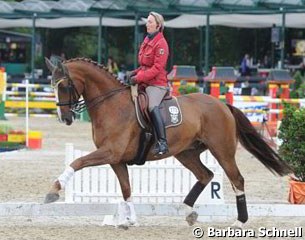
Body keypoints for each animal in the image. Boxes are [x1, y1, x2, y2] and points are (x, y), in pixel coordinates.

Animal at [43, 57, 292, 228]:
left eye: (63, 86)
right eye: (52, 85)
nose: (64, 118)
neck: (111, 104)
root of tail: (222, 105)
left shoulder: (110, 152)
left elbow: (76, 162)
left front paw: (54, 190)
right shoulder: (116, 159)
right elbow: (126, 188)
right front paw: (129, 220)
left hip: (222, 150)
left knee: (236, 179)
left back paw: (239, 222)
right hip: (186, 152)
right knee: (205, 175)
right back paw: (187, 211)